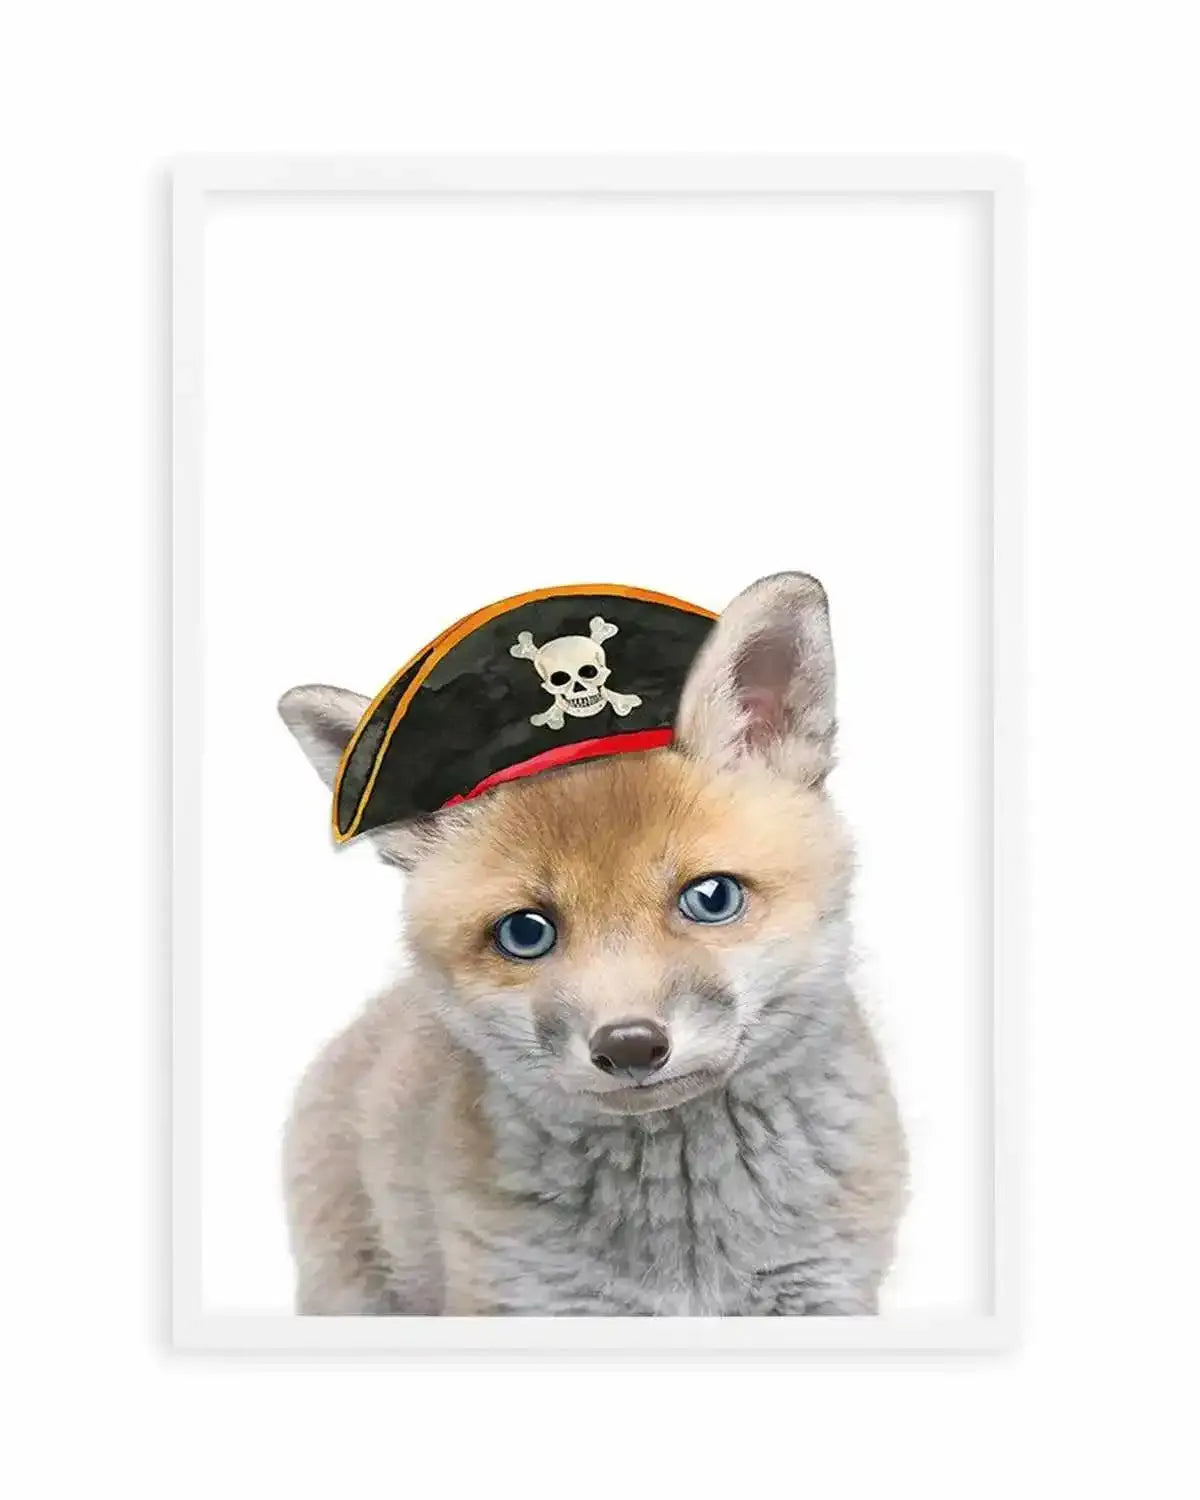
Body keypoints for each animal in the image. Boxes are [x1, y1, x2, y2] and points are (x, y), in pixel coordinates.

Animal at [278, 572, 907, 1315]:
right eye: (526, 932)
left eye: (712, 898)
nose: (629, 1046)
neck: (687, 1250)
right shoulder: (529, 1299)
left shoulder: (824, 1291)